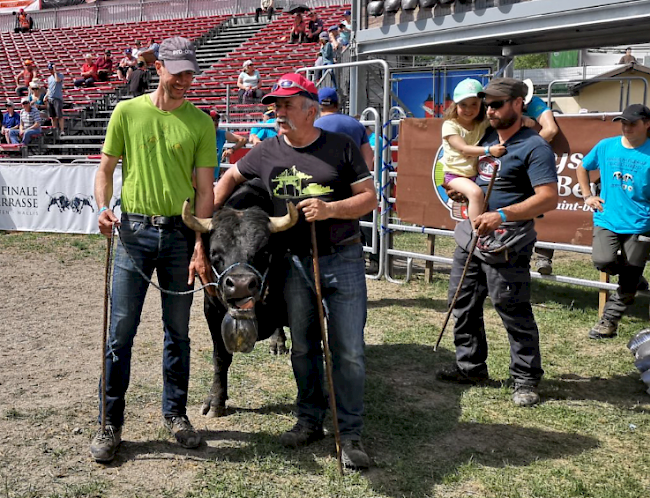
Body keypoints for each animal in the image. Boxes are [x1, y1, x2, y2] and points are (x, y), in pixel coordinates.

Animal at [180, 179, 296, 416]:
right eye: (215, 254)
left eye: (264, 252)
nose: (241, 285)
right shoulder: (212, 312)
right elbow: (220, 358)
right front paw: (215, 401)